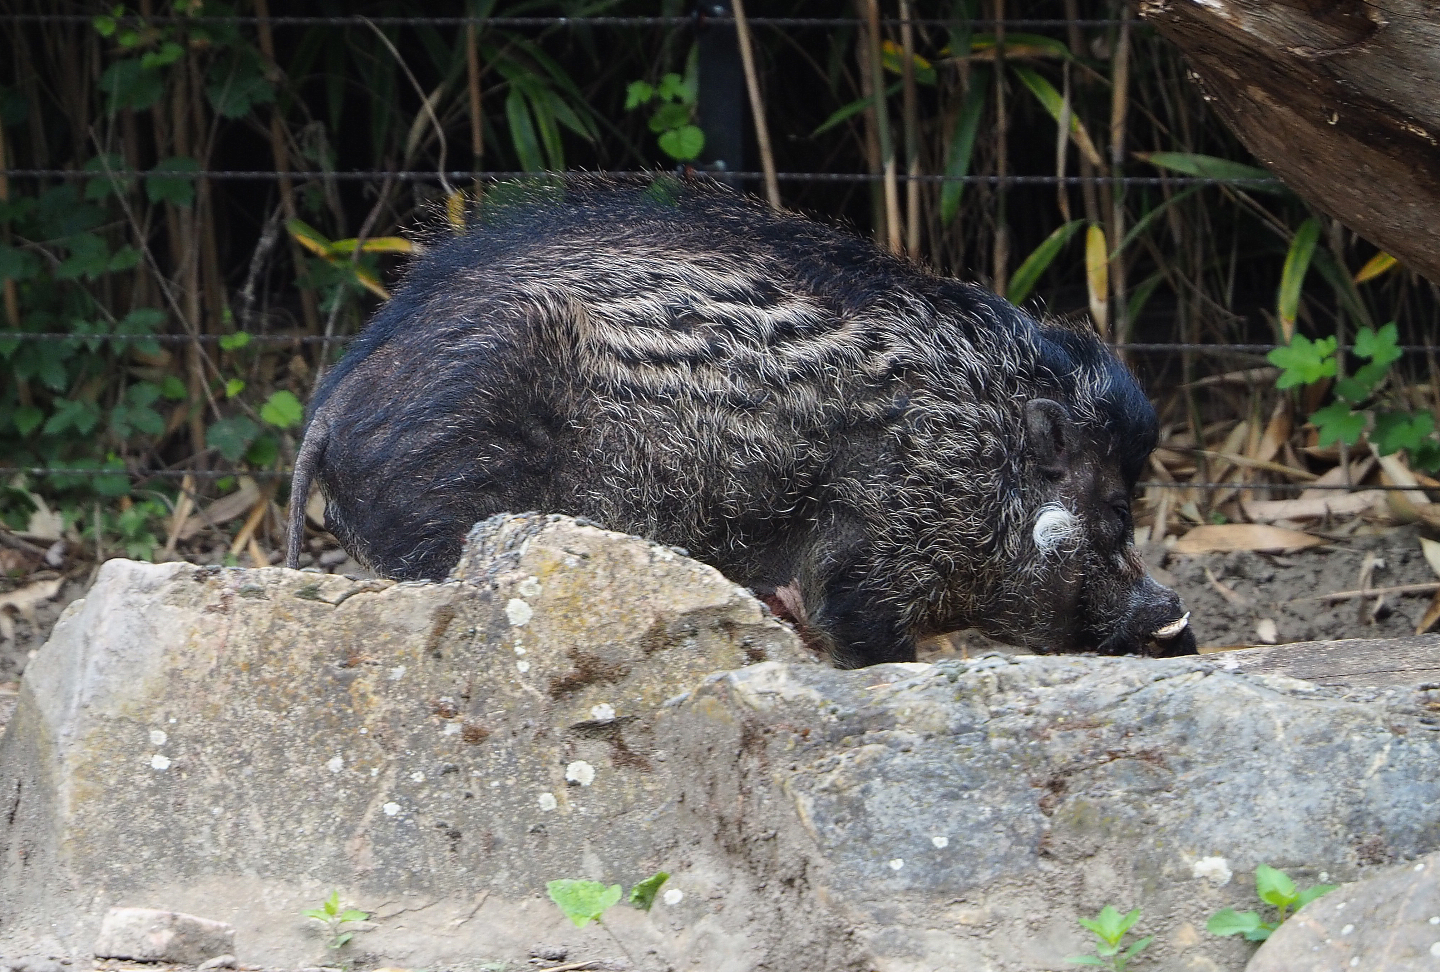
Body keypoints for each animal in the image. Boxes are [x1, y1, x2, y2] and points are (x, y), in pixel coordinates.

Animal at [286, 178, 1196, 667]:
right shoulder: (867, 553)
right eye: (1115, 511)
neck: (968, 448)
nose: (1180, 627)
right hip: (446, 505)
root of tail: (329, 408)